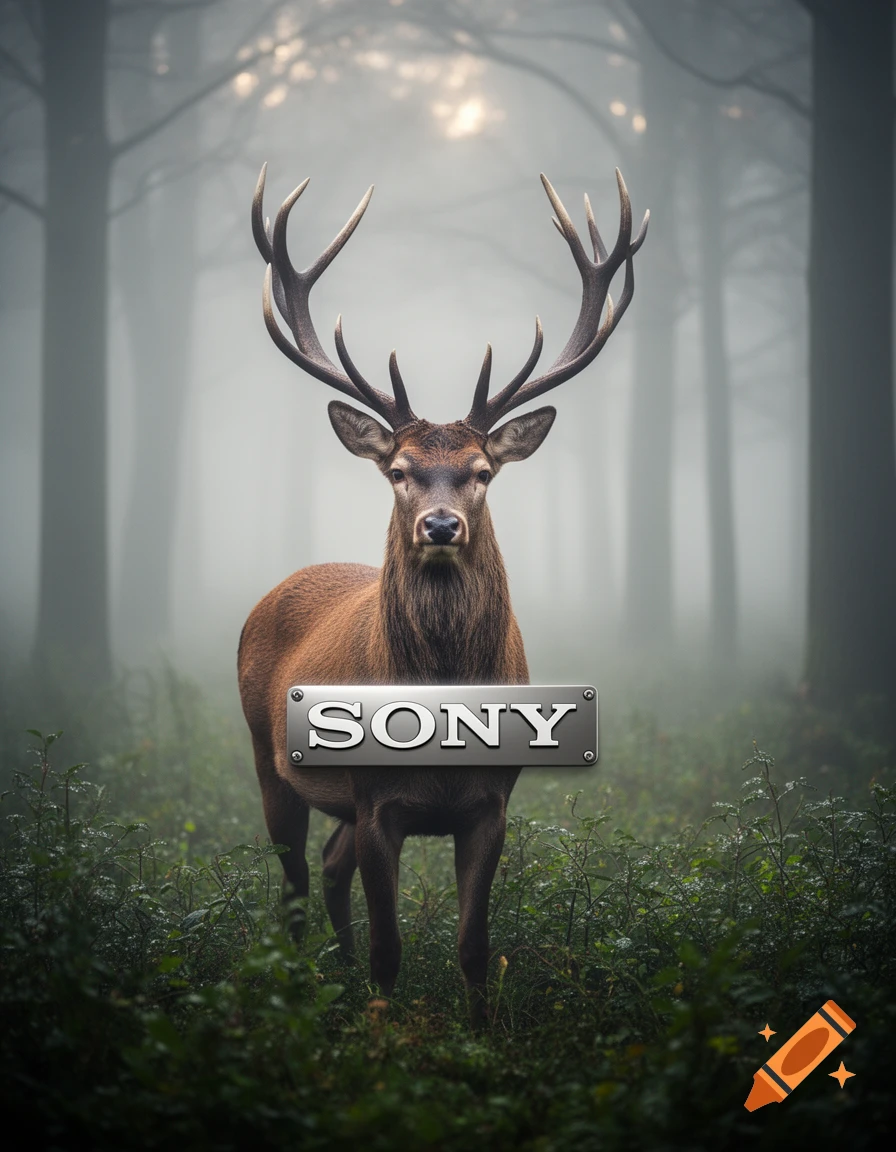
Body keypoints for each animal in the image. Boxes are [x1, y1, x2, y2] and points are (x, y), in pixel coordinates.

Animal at [238, 163, 648, 1023]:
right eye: (397, 469)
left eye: (482, 471)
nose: (440, 524)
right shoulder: (376, 801)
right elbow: (392, 950)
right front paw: (382, 1031)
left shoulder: (491, 804)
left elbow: (473, 947)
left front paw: (481, 1034)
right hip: (268, 757)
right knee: (295, 881)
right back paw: (303, 987)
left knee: (329, 869)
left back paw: (334, 969)